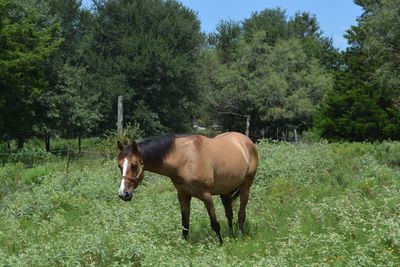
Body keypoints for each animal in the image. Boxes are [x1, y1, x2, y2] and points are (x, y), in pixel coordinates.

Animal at [117, 132, 258, 245]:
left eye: (134, 165)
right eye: (119, 166)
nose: (123, 194)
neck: (185, 159)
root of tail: (246, 141)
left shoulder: (206, 196)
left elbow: (215, 224)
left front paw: (221, 244)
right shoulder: (183, 195)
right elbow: (185, 225)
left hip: (246, 187)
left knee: (241, 214)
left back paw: (239, 236)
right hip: (226, 191)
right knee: (229, 214)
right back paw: (231, 236)